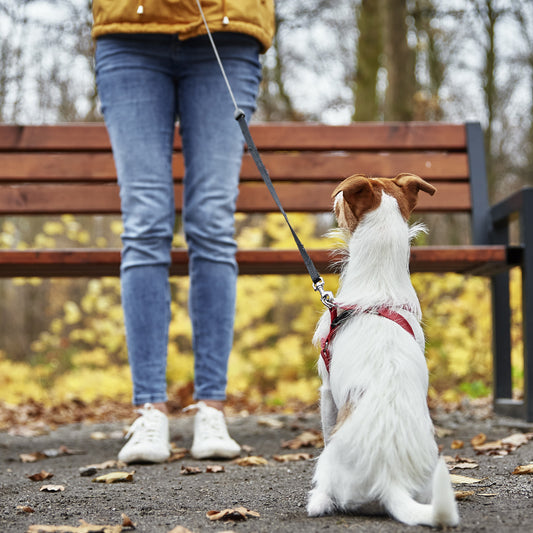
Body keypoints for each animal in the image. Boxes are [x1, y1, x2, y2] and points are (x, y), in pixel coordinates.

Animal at [306, 172, 460, 524]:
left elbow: (325, 427)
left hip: (331, 463)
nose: (334, 199)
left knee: (326, 490)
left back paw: (317, 500)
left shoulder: (327, 390)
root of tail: (391, 481)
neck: (380, 285)